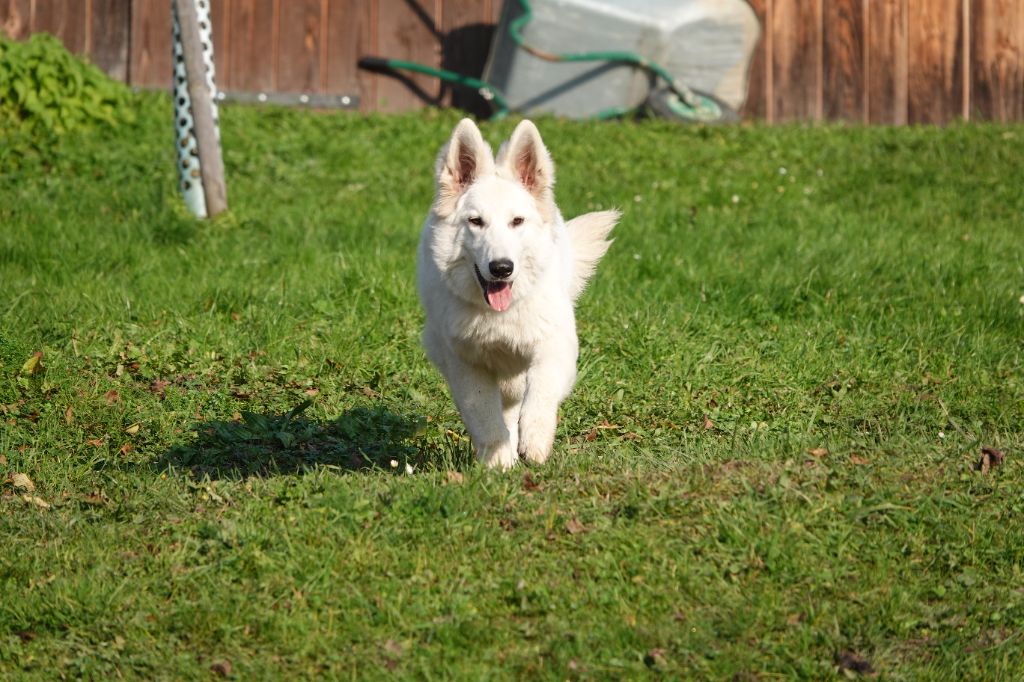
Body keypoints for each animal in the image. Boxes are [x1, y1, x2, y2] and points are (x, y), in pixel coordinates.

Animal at [413, 118, 614, 466]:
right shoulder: (465, 364)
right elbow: (483, 413)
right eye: (476, 221)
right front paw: (499, 460)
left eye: (517, 221)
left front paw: (534, 440)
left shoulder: (554, 345)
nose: (501, 268)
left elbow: (541, 391)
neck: (500, 314)